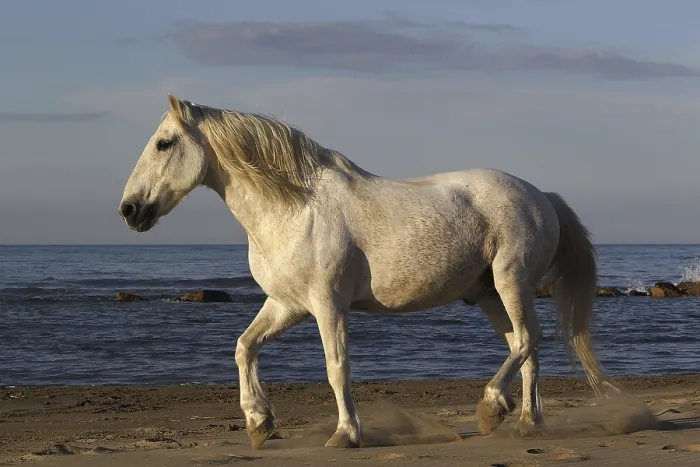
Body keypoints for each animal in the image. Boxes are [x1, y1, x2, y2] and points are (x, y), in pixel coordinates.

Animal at [118, 94, 619, 449]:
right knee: (524, 346)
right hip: (488, 294)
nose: (129, 210)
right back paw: (526, 422)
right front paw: (260, 423)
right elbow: (244, 348)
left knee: (530, 340)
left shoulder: (328, 306)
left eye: (165, 143)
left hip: (510, 281)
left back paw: (493, 407)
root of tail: (541, 196)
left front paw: (345, 434)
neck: (295, 209)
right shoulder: (286, 305)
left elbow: (336, 368)